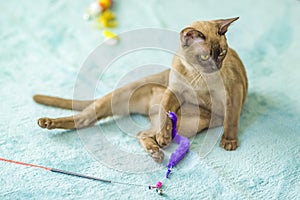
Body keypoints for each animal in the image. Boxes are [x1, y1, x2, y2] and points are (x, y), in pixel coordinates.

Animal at [34, 17, 247, 162]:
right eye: (204, 57)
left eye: (222, 53)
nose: (215, 67)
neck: (196, 75)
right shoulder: (175, 92)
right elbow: (165, 111)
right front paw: (163, 134)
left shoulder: (233, 92)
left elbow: (231, 119)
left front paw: (229, 142)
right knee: (84, 118)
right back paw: (46, 122)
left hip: (191, 124)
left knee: (140, 133)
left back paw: (156, 150)